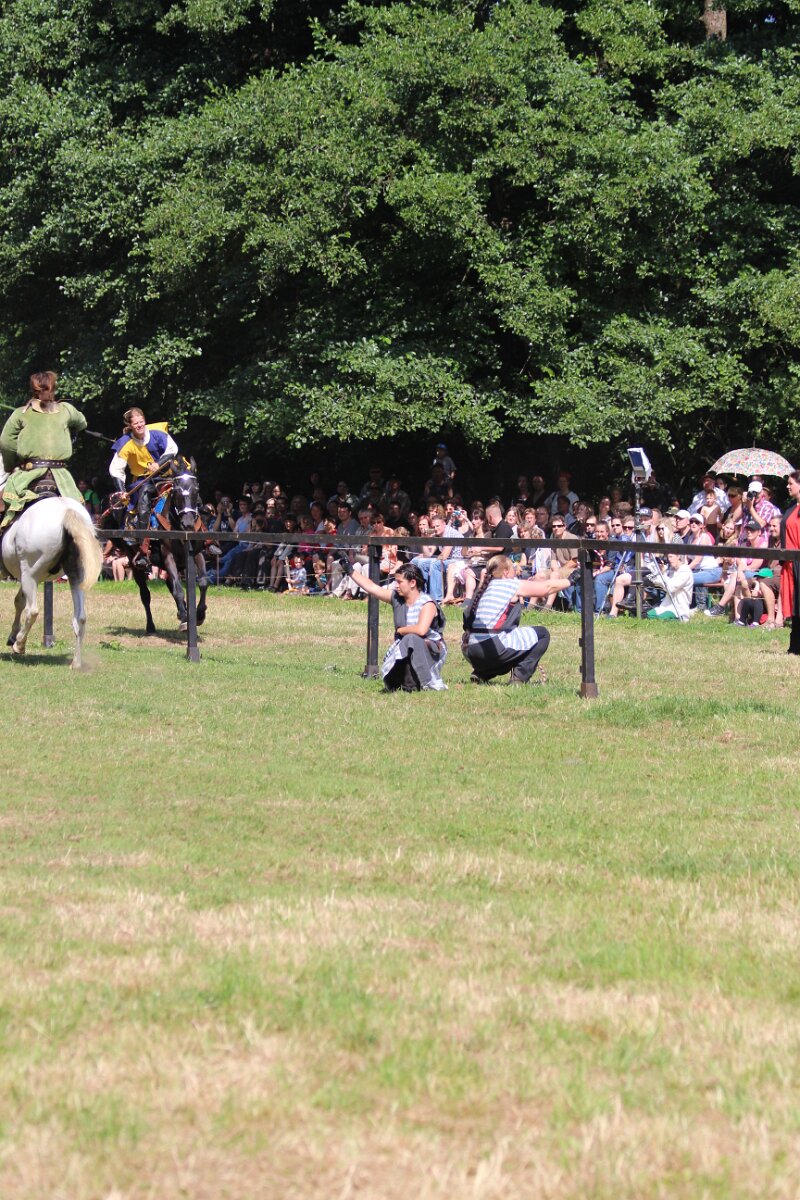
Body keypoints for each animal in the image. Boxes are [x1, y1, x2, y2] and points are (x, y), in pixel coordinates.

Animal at [1, 497, 103, 668]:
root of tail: (67, 510)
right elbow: (18, 601)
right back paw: (76, 663)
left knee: (33, 610)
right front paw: (12, 635)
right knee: (80, 618)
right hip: (74, 578)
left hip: (29, 574)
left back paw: (20, 644)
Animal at [128, 463, 209, 635]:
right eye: (176, 491)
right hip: (134, 562)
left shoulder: (197, 554)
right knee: (146, 594)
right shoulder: (168, 555)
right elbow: (178, 589)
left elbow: (203, 582)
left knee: (169, 584)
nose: (188, 523)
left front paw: (199, 615)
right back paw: (151, 626)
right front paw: (185, 616)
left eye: (196, 490)